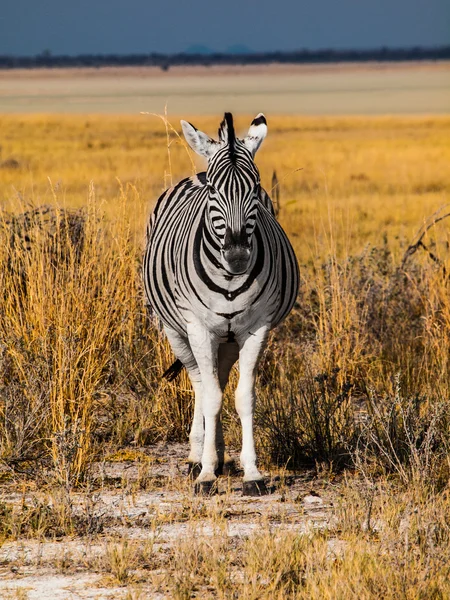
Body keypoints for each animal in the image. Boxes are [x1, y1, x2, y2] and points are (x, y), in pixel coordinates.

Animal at [143, 112, 298, 496]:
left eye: (255, 188)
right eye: (214, 191)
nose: (239, 256)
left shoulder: (256, 329)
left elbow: (244, 397)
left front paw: (252, 473)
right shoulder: (199, 328)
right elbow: (211, 396)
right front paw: (206, 474)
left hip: (227, 338)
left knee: (220, 377)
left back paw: (220, 453)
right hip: (177, 331)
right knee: (201, 382)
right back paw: (198, 456)